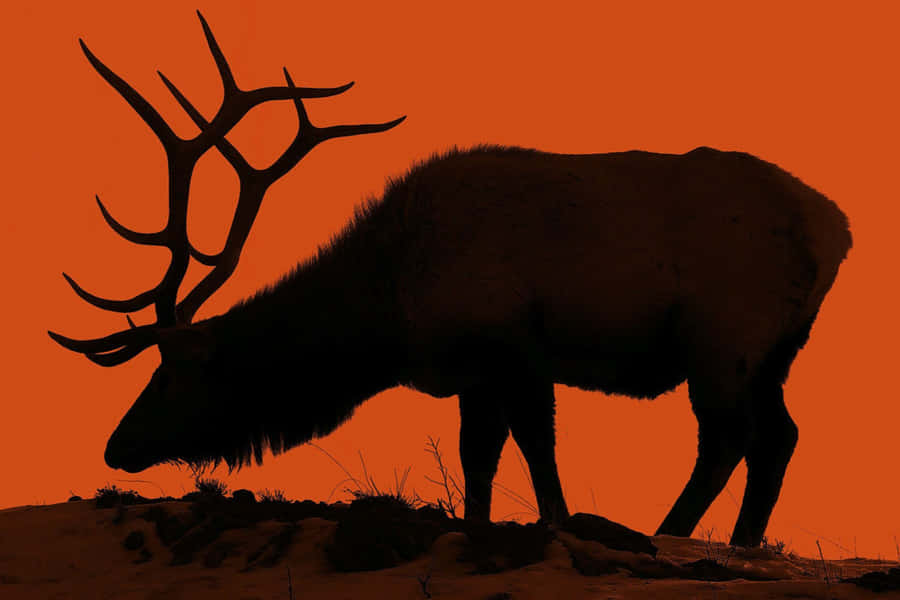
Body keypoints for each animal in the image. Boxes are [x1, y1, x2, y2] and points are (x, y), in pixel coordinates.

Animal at [50, 12, 852, 548]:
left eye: (173, 373)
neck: (389, 312)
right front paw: (480, 524)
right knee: (779, 435)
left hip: (724, 335)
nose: (116, 446)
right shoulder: (474, 370)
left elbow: (535, 447)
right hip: (776, 348)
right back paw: (742, 542)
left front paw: (559, 524)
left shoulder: (512, 345)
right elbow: (479, 455)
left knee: (728, 437)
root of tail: (837, 229)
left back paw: (671, 532)